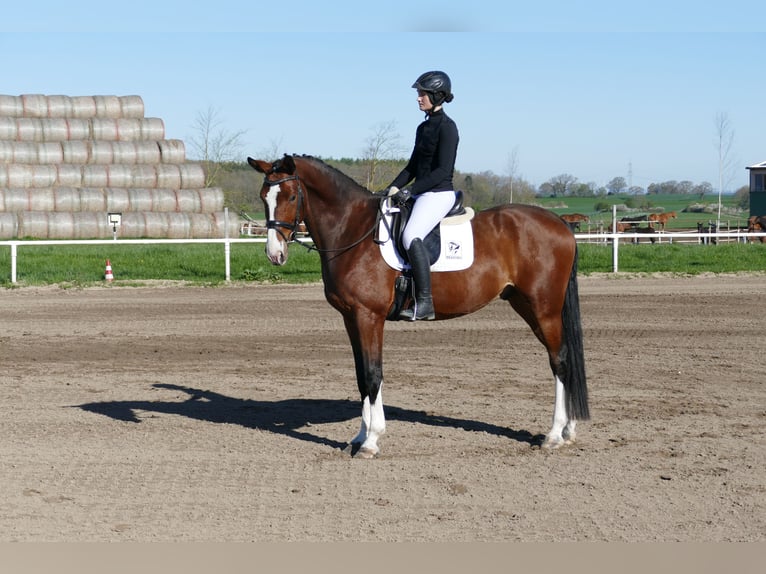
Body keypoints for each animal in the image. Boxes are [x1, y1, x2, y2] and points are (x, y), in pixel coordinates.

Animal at [247, 154, 589, 458]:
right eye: (264, 196)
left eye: (291, 195)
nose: (275, 254)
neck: (352, 229)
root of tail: (559, 222)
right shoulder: (350, 317)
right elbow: (360, 376)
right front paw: (358, 437)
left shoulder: (369, 316)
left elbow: (373, 374)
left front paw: (371, 442)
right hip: (525, 303)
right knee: (564, 360)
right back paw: (570, 431)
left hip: (543, 307)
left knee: (560, 361)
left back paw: (554, 435)